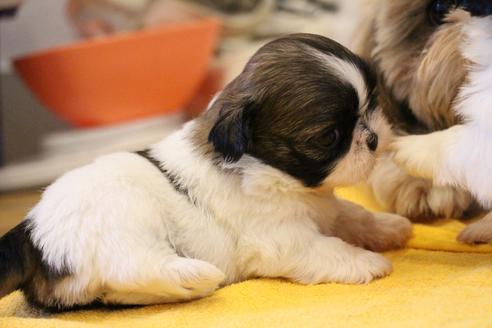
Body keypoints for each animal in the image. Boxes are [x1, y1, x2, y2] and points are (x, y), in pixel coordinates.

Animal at [0, 34, 412, 312]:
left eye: (372, 105)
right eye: (330, 136)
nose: (373, 138)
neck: (271, 172)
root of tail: (29, 231)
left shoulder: (325, 208)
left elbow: (351, 215)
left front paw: (387, 227)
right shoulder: (282, 237)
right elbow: (325, 247)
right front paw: (365, 260)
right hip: (122, 223)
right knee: (135, 265)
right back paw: (196, 276)